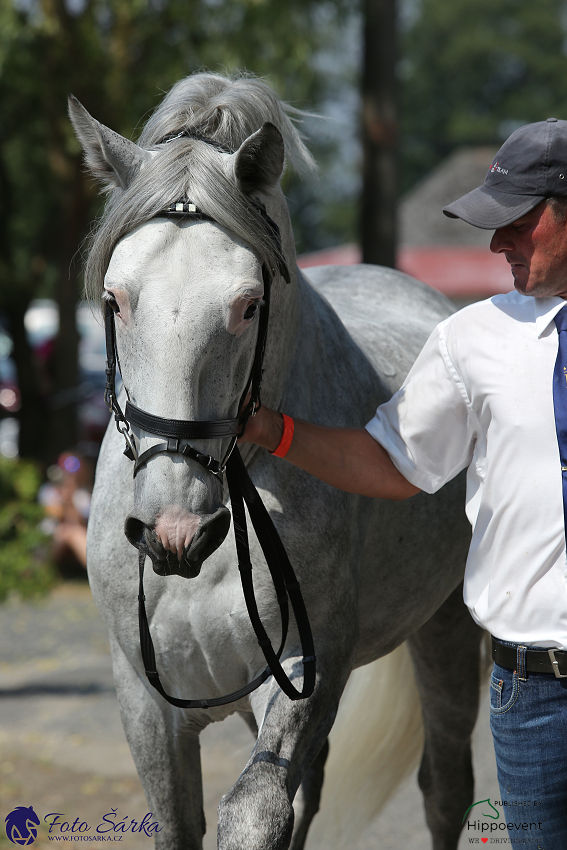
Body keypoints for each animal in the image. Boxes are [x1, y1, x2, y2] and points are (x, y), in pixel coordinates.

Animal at [72, 74, 484, 848]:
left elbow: (255, 812)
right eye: (115, 298)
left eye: (247, 304)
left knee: (445, 788)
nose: (175, 532)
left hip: (448, 629)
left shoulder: (300, 676)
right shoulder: (146, 705)